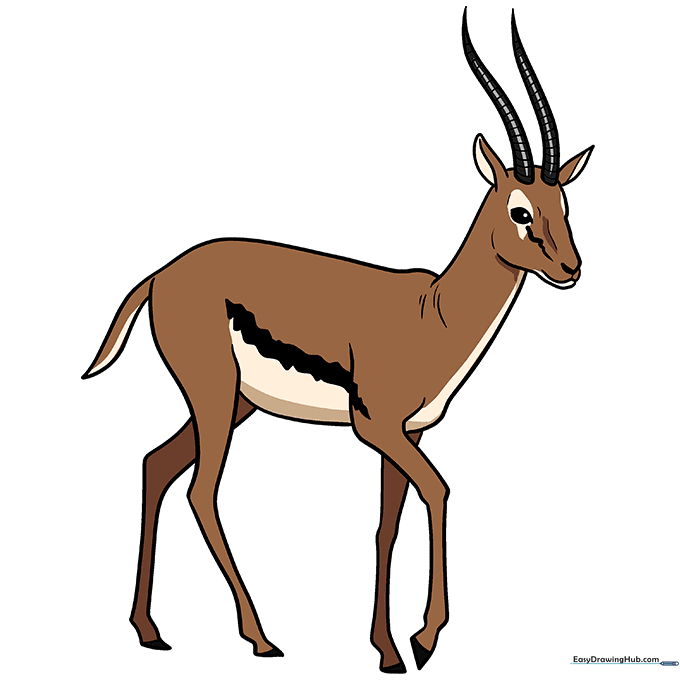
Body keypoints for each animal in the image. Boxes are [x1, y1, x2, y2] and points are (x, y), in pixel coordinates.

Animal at [83, 10, 593, 674]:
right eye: (519, 210)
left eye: (564, 203)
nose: (572, 269)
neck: (434, 315)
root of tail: (160, 274)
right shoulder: (375, 426)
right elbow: (439, 491)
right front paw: (425, 640)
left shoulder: (408, 434)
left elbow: (386, 526)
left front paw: (389, 650)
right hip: (215, 396)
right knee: (201, 492)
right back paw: (261, 637)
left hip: (232, 404)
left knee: (155, 465)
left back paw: (149, 630)